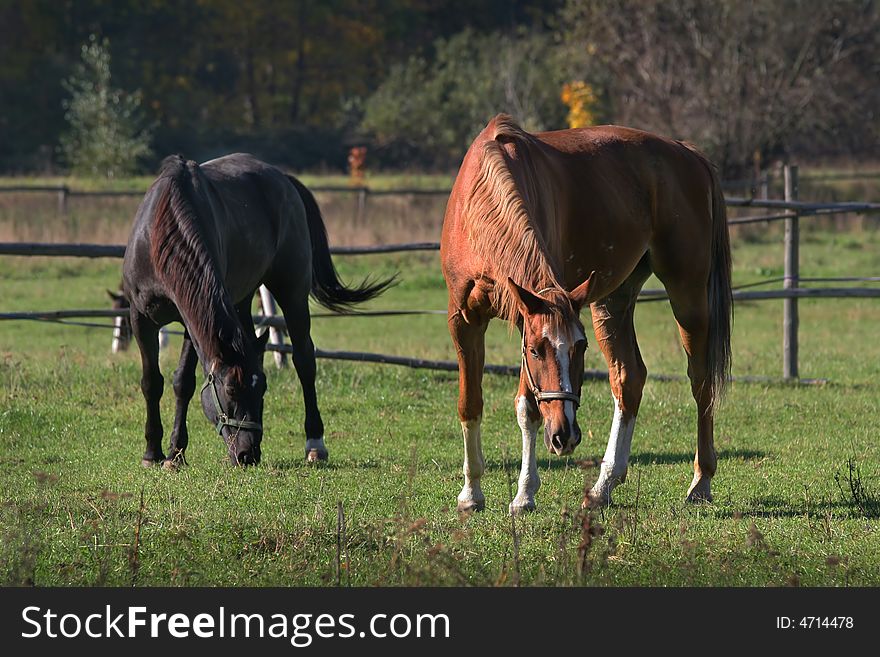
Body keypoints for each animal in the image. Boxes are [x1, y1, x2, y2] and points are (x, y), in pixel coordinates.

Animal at [121, 154, 392, 466]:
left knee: (304, 360)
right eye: (230, 389)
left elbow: (183, 383)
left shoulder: (192, 322)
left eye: (262, 388)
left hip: (292, 291)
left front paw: (175, 454)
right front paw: (153, 453)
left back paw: (315, 444)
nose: (248, 454)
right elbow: (151, 382)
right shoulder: (140, 317)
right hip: (241, 299)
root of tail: (283, 179)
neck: (162, 234)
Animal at [444, 114, 732, 512]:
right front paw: (471, 493)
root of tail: (687, 152)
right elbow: (470, 404)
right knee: (629, 378)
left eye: (580, 348)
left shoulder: (524, 313)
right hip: (611, 301)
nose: (565, 435)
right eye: (535, 350)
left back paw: (701, 481)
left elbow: (527, 409)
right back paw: (603, 485)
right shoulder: (466, 320)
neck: (480, 204)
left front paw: (524, 493)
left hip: (687, 293)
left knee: (700, 379)